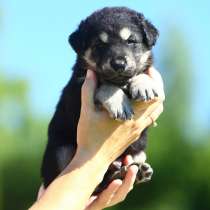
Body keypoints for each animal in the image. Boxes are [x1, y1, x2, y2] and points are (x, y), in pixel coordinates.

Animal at [41, 6, 162, 194]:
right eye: (99, 44)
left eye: (131, 41)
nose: (119, 64)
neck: (120, 81)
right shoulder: (77, 92)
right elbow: (105, 85)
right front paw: (118, 102)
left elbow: (143, 73)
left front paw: (144, 85)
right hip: (60, 151)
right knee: (94, 183)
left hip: (138, 152)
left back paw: (136, 172)